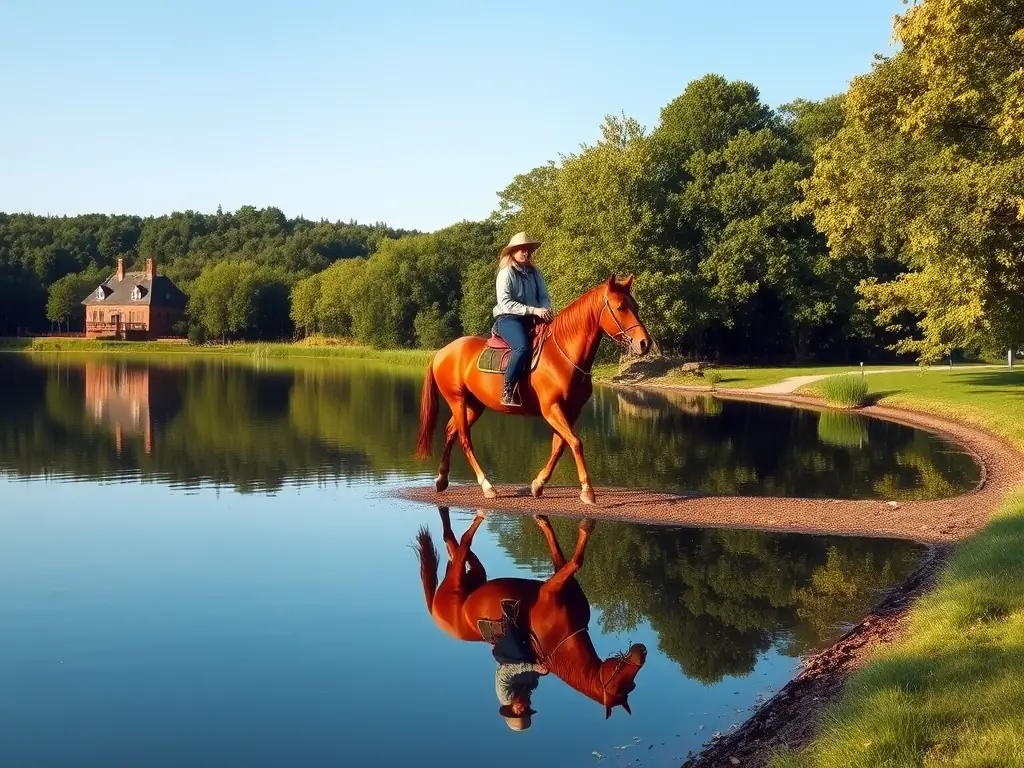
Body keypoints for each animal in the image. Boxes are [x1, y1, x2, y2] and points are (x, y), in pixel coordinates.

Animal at [413, 506, 647, 719]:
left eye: (632, 685)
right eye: (619, 683)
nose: (642, 652)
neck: (562, 643)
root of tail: (435, 613)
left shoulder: (559, 579)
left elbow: (560, 553)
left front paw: (544, 519)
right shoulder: (550, 589)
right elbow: (574, 561)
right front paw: (581, 524)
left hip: (475, 575)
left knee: (455, 547)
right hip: (457, 578)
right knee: (459, 542)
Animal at [414, 274, 652, 505]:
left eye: (635, 306)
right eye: (620, 307)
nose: (644, 343)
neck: (562, 355)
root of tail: (441, 352)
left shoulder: (570, 411)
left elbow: (560, 446)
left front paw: (538, 484)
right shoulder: (551, 408)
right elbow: (576, 442)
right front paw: (587, 491)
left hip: (473, 405)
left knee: (451, 432)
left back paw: (442, 479)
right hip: (457, 400)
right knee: (465, 440)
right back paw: (487, 486)